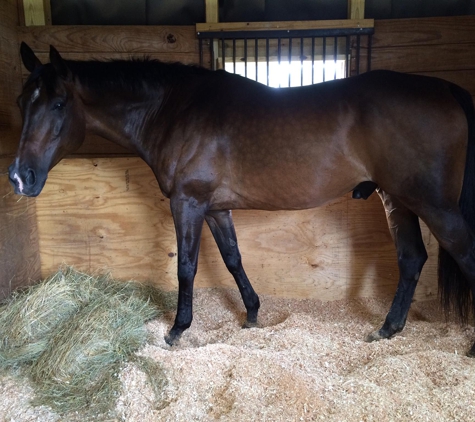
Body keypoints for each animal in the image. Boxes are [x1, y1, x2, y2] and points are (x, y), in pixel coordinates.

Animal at [8, 42, 475, 354]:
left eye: (59, 103)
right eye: (21, 102)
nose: (19, 176)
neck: (172, 110)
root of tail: (444, 89)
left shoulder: (188, 203)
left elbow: (186, 267)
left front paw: (177, 330)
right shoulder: (215, 208)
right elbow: (233, 259)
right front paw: (251, 314)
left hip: (434, 205)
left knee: (462, 254)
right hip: (398, 199)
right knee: (411, 259)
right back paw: (387, 329)